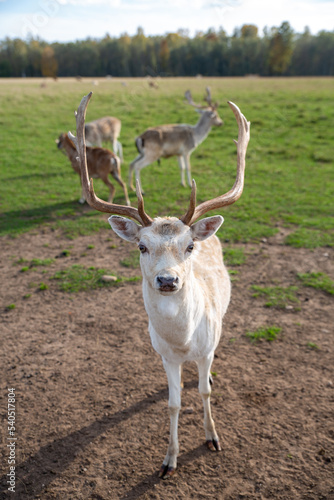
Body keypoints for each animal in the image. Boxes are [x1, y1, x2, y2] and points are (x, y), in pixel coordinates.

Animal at [69, 92, 249, 478]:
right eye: (141, 246)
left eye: (190, 246)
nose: (168, 279)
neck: (183, 342)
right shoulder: (164, 355)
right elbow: (172, 403)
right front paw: (169, 460)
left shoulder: (206, 349)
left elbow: (204, 393)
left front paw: (213, 438)